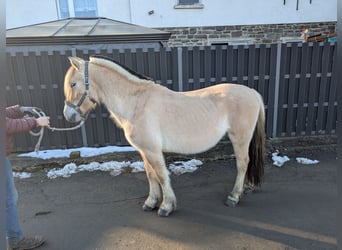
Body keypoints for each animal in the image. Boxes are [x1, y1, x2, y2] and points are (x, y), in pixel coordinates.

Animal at [62, 55, 266, 216]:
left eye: (73, 84)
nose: (68, 115)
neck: (136, 103)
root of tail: (253, 93)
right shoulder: (144, 151)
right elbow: (150, 175)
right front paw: (151, 202)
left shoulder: (153, 151)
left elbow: (161, 175)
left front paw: (166, 206)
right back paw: (246, 187)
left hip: (240, 138)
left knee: (243, 163)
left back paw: (234, 197)